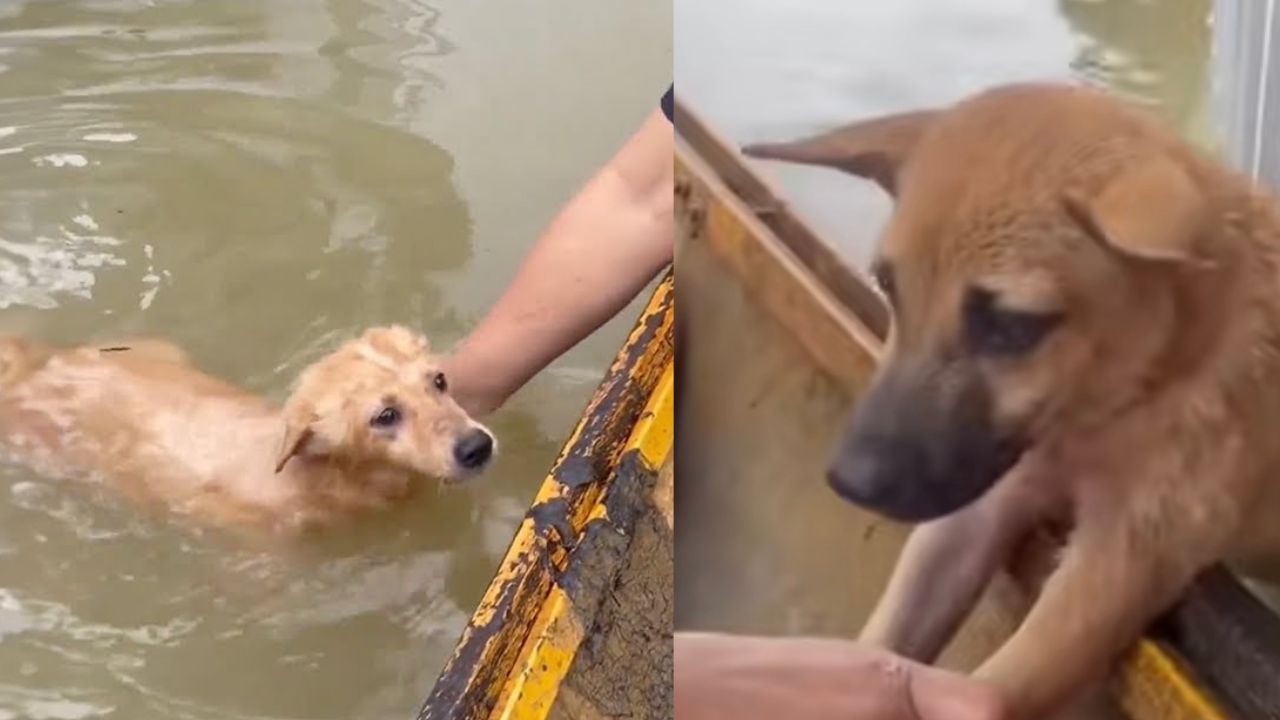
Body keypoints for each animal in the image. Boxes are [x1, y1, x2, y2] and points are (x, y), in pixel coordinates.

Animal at [747, 82, 1280, 712]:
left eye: (1010, 325)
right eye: (887, 286)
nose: (850, 482)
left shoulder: (1120, 563)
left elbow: (996, 687)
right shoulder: (977, 508)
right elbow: (884, 636)